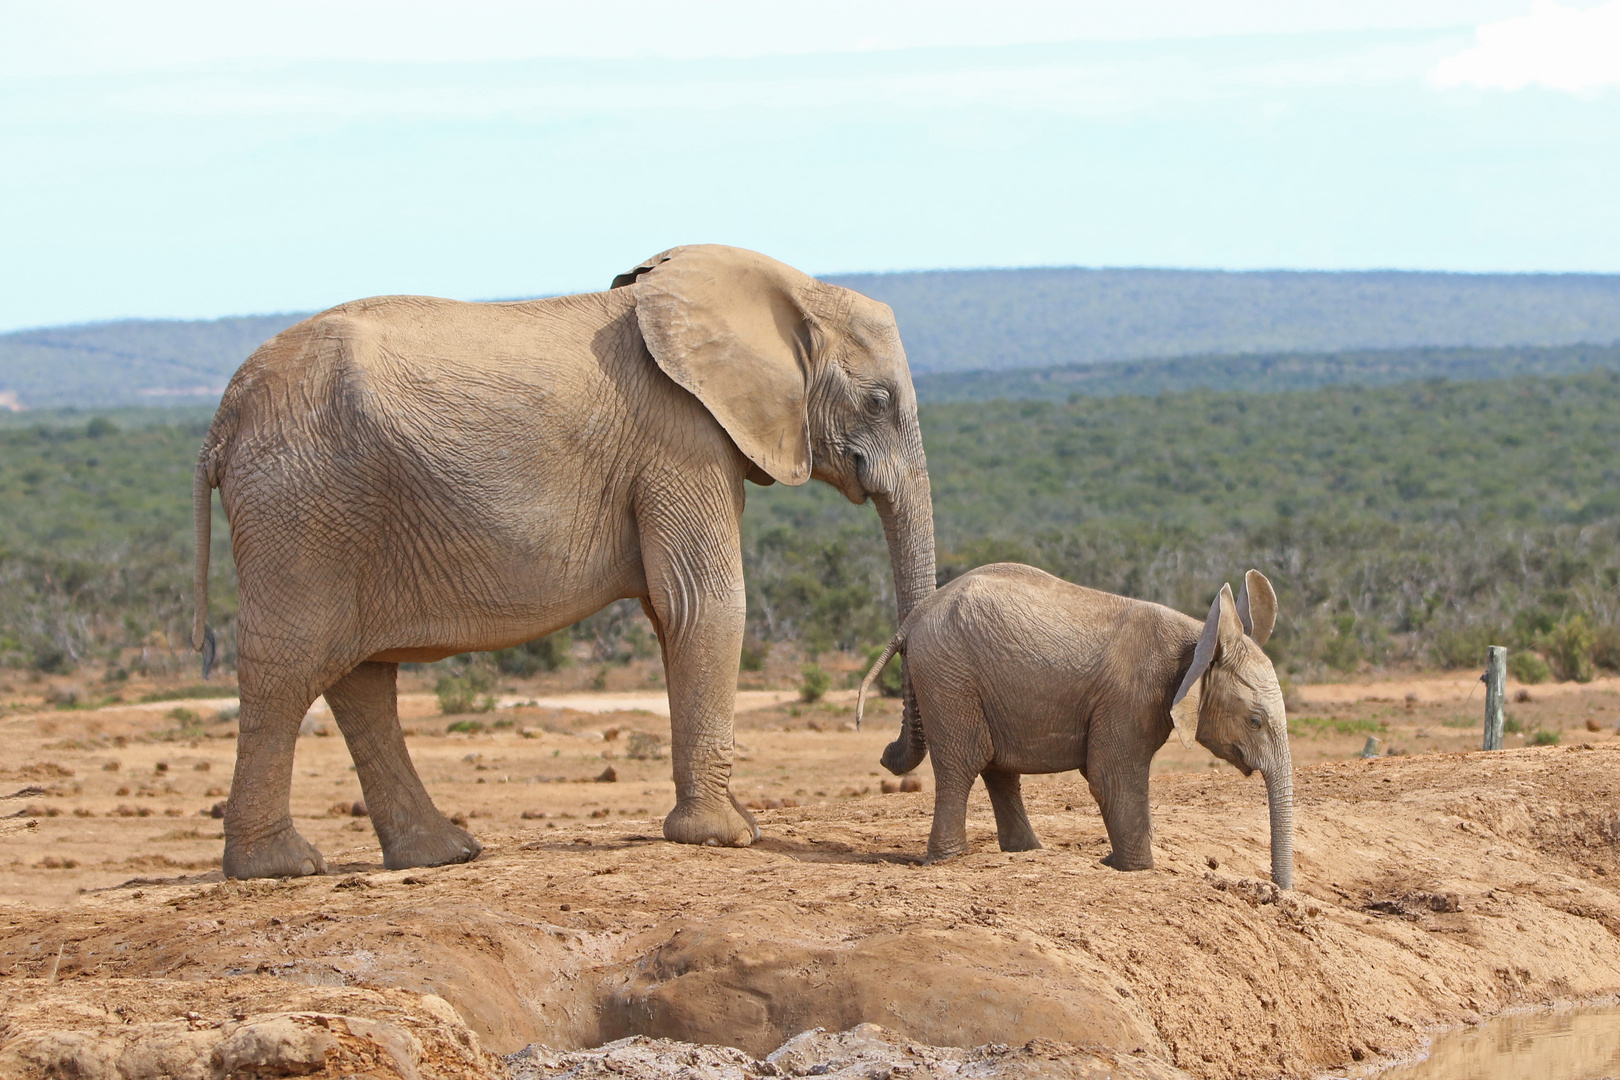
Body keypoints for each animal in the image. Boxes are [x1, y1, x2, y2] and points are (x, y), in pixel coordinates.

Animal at [192, 242, 939, 880]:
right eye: (878, 401)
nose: (885, 752)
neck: (788, 291)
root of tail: (222, 420)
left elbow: (675, 611)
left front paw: (727, 828)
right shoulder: (682, 435)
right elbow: (705, 602)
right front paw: (727, 837)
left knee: (362, 677)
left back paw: (441, 853)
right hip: (302, 506)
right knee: (288, 665)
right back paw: (280, 867)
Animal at [861, 566, 1289, 887]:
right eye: (1255, 721)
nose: (1275, 890)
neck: (1199, 638)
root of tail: (914, 617)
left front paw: (1116, 862)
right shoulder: (1128, 698)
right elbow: (1111, 778)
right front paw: (1134, 869)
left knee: (997, 768)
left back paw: (1027, 851)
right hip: (948, 674)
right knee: (963, 762)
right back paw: (949, 858)